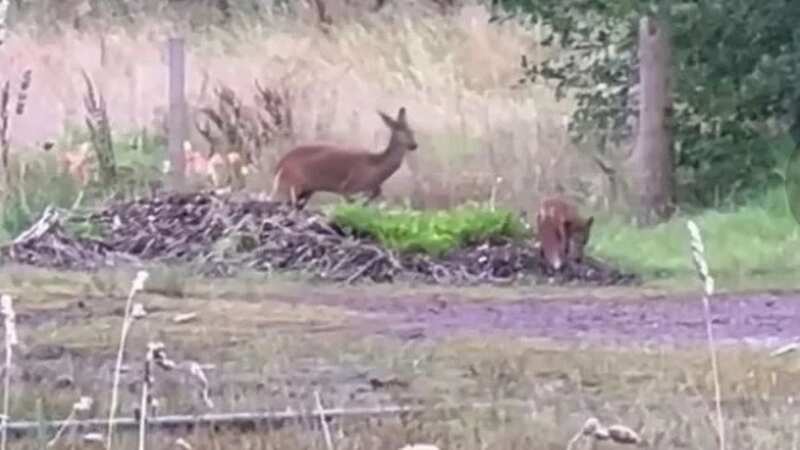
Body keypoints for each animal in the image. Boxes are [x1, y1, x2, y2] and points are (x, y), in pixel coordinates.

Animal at [268, 107, 418, 209]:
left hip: (306, 190)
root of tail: (278, 167)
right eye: (400, 131)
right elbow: (352, 201)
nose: (414, 145)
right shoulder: (347, 186)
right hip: (292, 184)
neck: (375, 166)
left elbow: (375, 194)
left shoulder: (373, 187)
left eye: (412, 131)